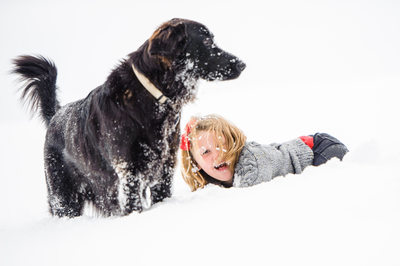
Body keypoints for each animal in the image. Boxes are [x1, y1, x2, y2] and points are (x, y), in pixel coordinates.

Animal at [11, 18, 244, 216]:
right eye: (207, 41)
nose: (242, 64)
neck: (151, 97)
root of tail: (56, 116)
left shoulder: (165, 167)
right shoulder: (128, 172)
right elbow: (133, 204)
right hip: (63, 197)